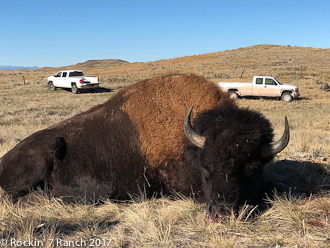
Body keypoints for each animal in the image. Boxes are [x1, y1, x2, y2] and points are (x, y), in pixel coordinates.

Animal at [0, 74, 288, 217]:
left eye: (252, 166)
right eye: (206, 165)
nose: (221, 213)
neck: (189, 143)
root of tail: (4, 160)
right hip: (48, 147)